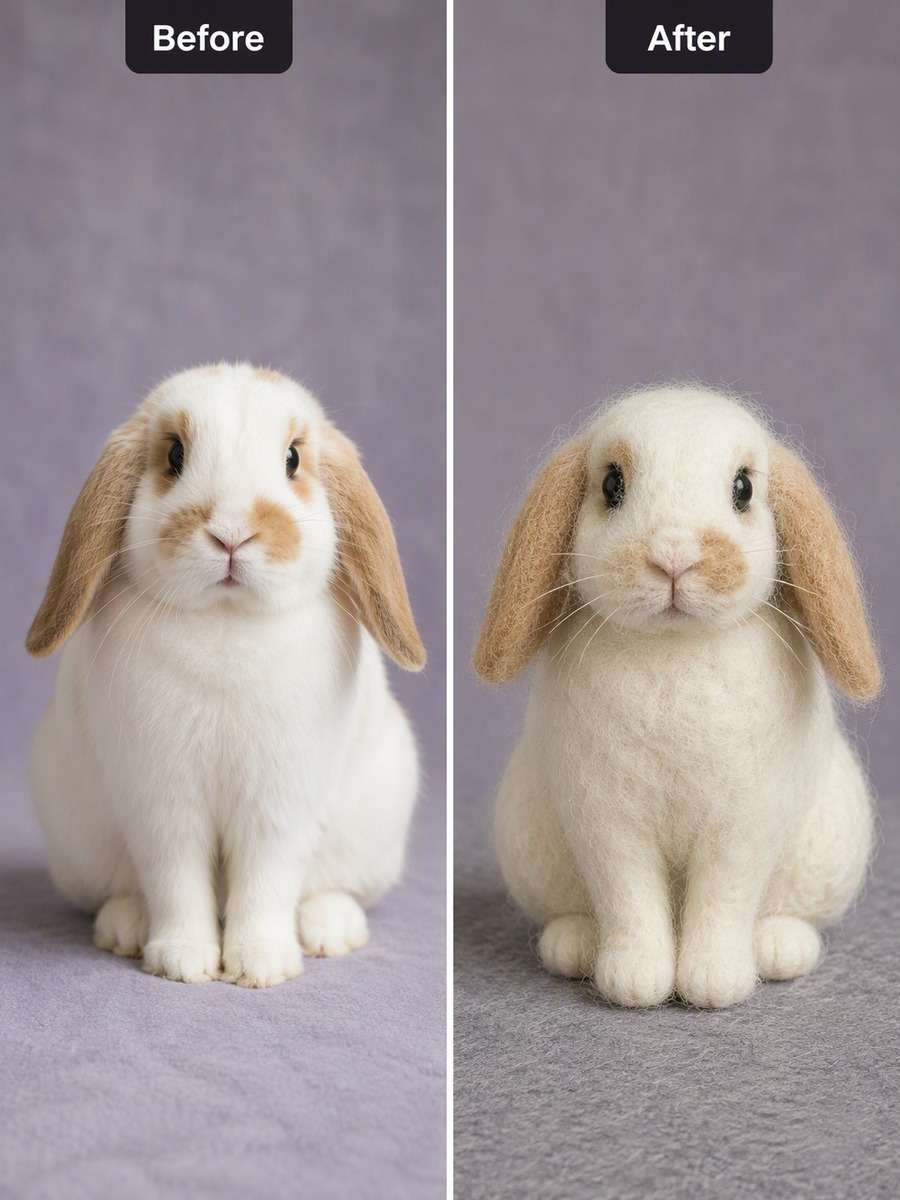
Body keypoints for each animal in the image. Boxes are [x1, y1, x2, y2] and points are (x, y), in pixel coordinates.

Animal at [26, 363, 426, 987]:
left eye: (292, 458)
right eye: (173, 455)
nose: (232, 533)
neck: (226, 620)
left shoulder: (278, 802)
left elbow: (265, 880)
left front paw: (260, 966)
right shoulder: (162, 801)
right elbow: (176, 880)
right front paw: (182, 960)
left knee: (329, 889)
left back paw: (330, 930)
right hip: (80, 842)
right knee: (125, 891)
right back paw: (125, 928)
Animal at [474, 385, 881, 1010]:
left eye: (744, 489)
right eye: (611, 484)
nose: (673, 554)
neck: (674, 650)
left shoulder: (740, 826)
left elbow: (723, 899)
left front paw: (714, 983)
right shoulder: (608, 823)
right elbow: (629, 898)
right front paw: (636, 980)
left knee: (786, 914)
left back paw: (780, 948)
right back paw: (573, 946)